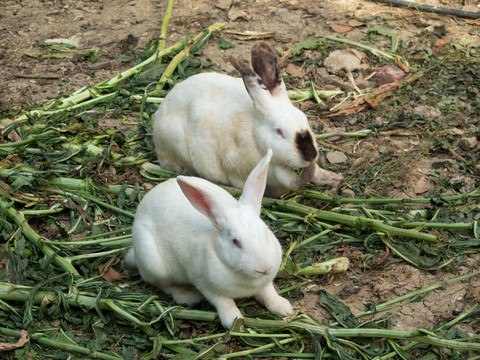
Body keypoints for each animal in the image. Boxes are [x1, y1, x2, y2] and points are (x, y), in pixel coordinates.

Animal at [124, 149, 292, 330]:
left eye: (265, 231)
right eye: (235, 242)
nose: (264, 267)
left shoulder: (265, 283)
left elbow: (269, 294)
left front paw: (285, 308)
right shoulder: (208, 287)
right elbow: (225, 303)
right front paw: (235, 323)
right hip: (154, 263)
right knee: (165, 285)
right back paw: (188, 296)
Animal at [154, 43, 342, 200]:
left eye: (304, 118)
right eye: (279, 131)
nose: (310, 155)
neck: (255, 134)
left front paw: (333, 178)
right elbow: (291, 181)